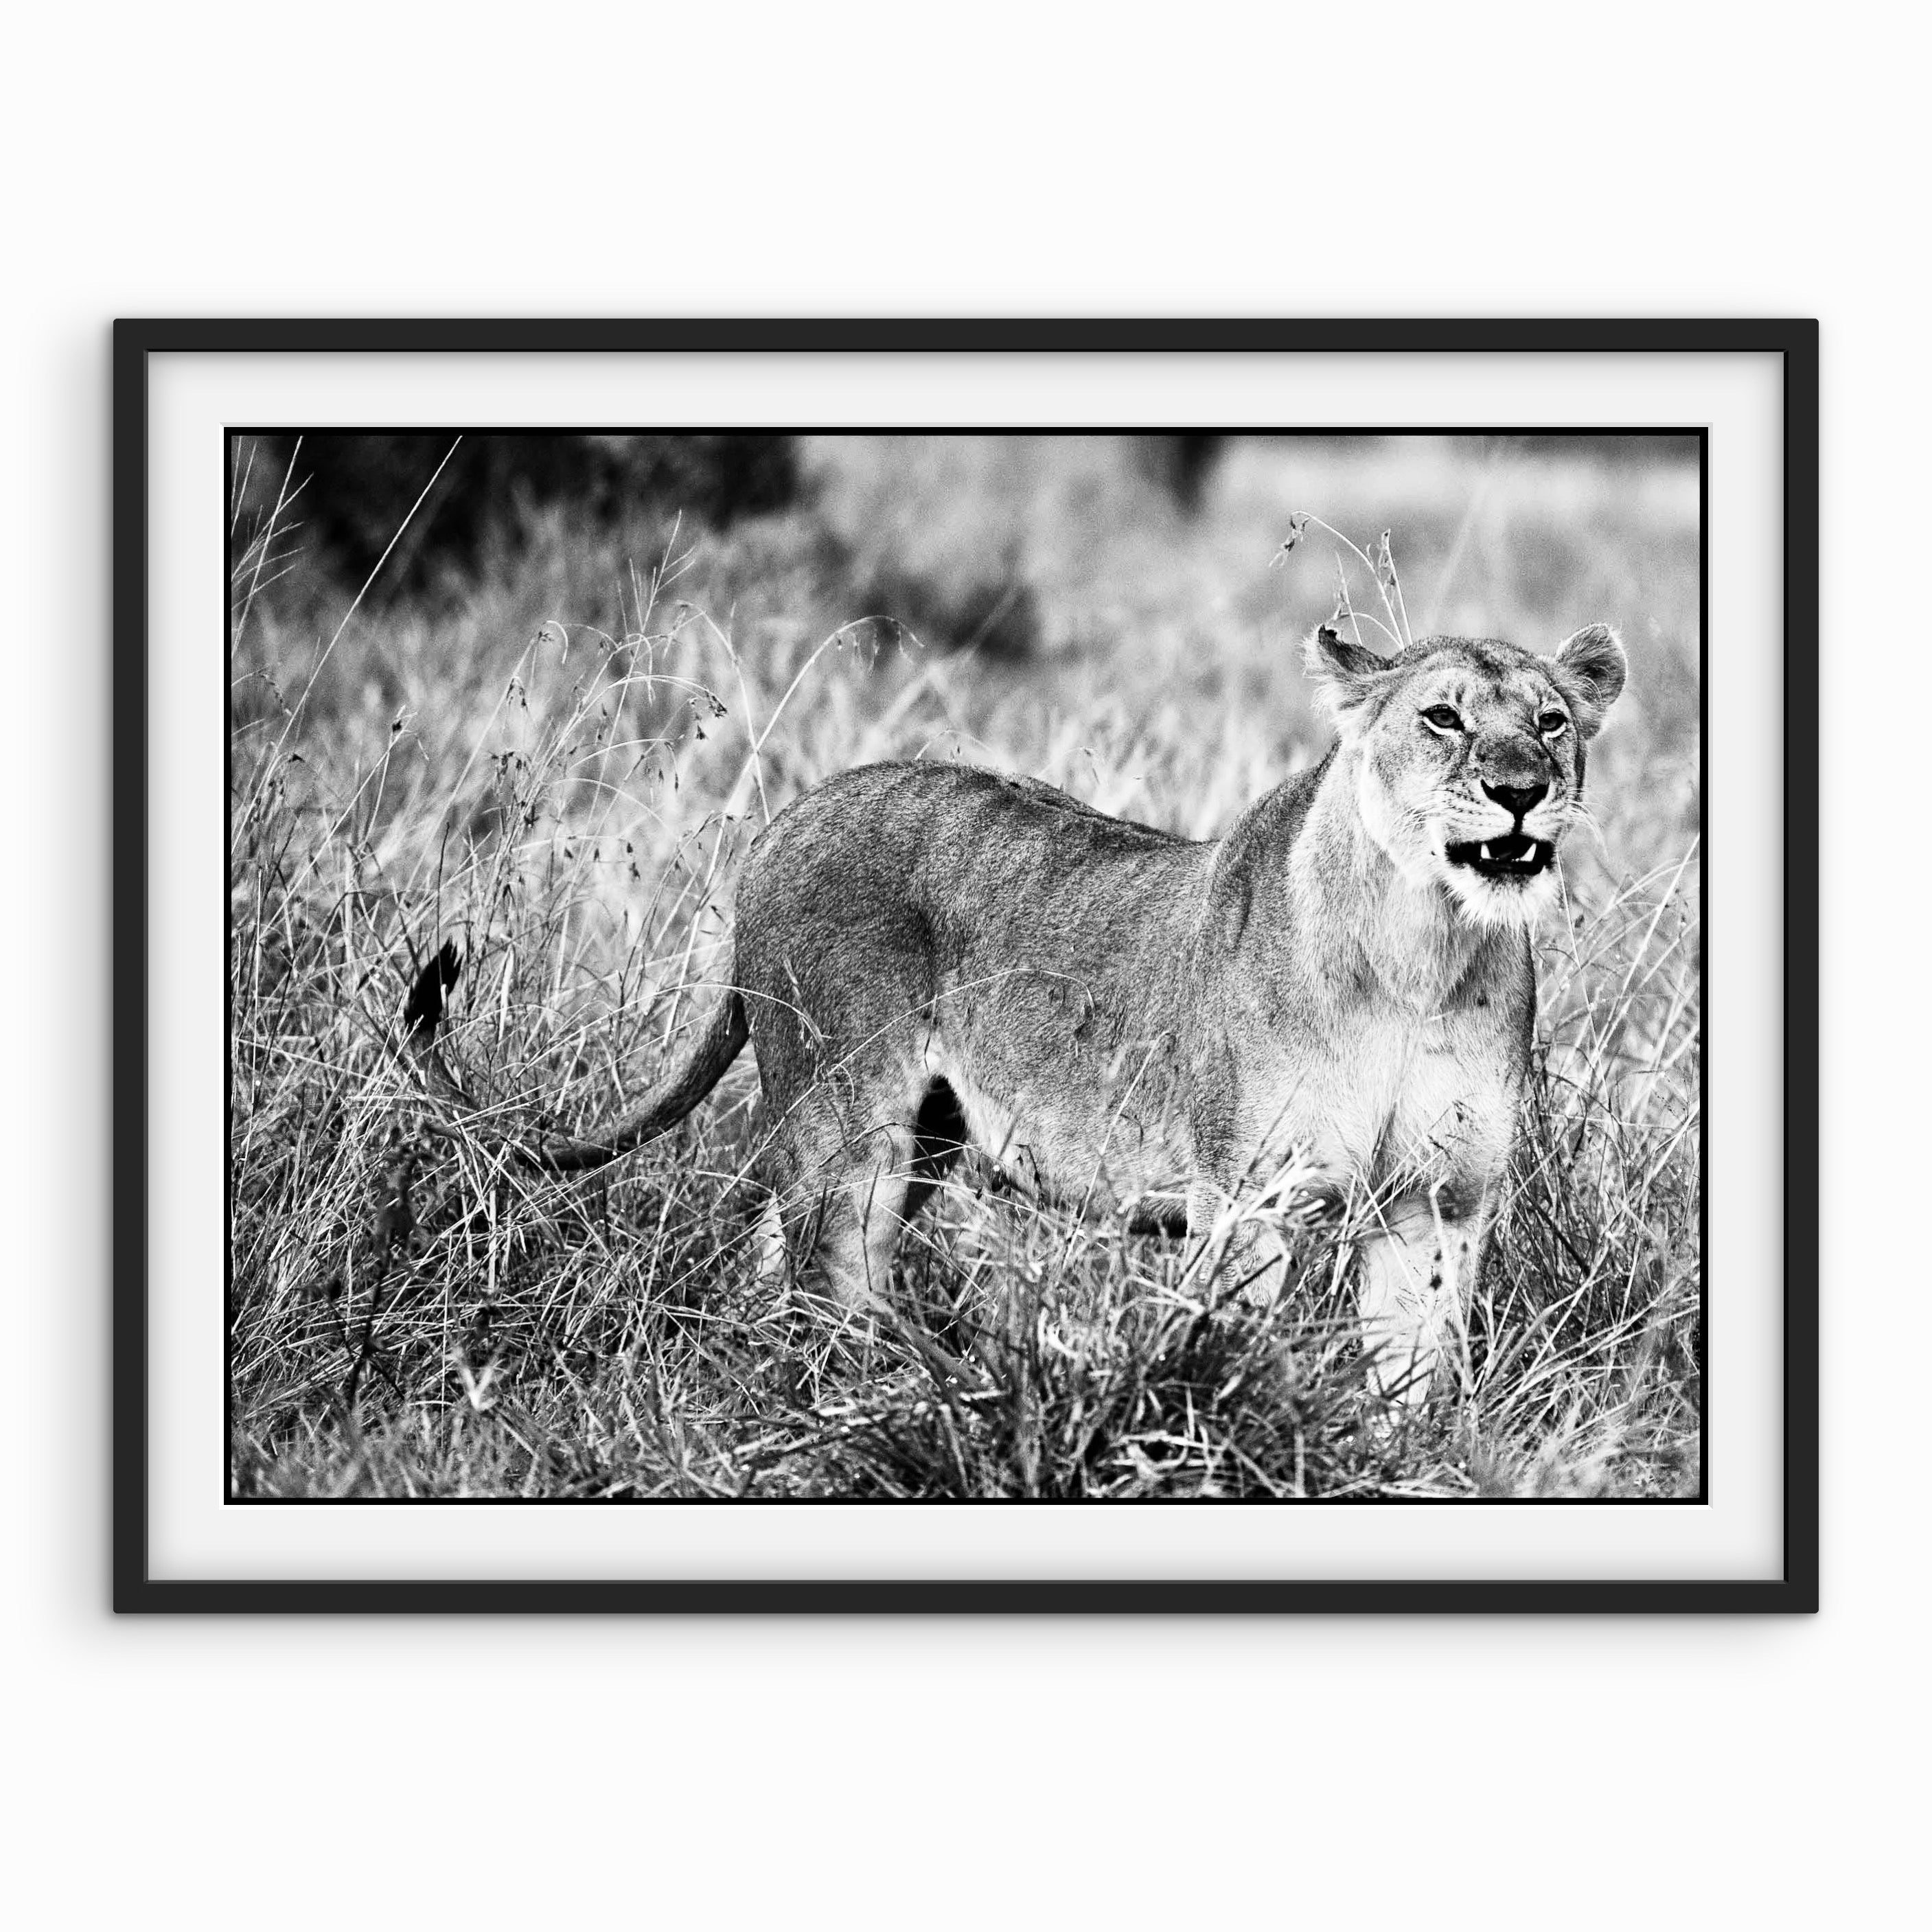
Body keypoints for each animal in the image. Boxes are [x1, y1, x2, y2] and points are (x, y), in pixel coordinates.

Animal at [405, 622, 1626, 1403]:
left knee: (773, 1246)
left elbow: (1411, 1372)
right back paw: (874, 1394)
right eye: (1441, 717)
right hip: (851, 1122)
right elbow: (1228, 1354)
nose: (1521, 790)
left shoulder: (1439, 1202)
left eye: (1552, 721)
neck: (1423, 950)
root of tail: (789, 815)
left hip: (926, 1137)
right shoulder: (1246, 1200)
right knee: (829, 1271)